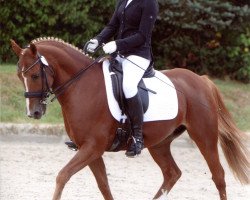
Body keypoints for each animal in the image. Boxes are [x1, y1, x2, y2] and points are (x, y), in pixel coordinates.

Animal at [10, 38, 249, 200]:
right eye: (19, 76)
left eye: (35, 75)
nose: (33, 113)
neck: (81, 86)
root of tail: (200, 79)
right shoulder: (90, 150)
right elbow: (104, 185)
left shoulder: (93, 147)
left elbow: (62, 176)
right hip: (160, 143)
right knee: (171, 174)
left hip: (204, 136)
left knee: (218, 175)